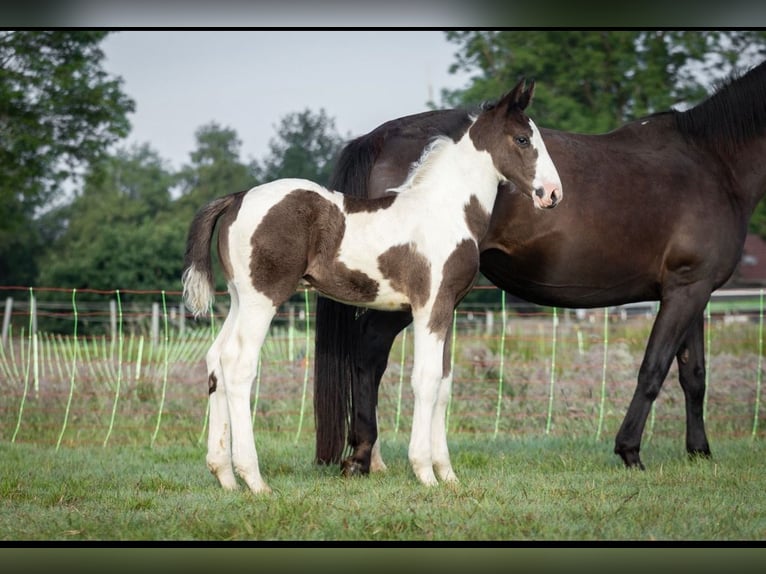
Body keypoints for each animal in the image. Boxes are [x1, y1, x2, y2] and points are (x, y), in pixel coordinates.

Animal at [182, 80, 560, 496]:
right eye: (523, 139)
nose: (552, 194)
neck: (444, 210)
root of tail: (236, 199)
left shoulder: (448, 309)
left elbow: (443, 384)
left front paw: (448, 475)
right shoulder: (429, 307)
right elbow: (425, 380)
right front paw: (425, 472)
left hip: (238, 298)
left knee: (216, 359)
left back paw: (225, 475)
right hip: (262, 300)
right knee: (238, 365)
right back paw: (254, 479)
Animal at [316, 59, 766, 476]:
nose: (552, 193)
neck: (713, 161)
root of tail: (379, 137)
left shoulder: (692, 290)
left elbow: (694, 375)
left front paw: (700, 452)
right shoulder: (686, 290)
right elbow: (653, 369)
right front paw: (630, 451)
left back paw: (370, 457)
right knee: (370, 349)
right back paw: (363, 456)